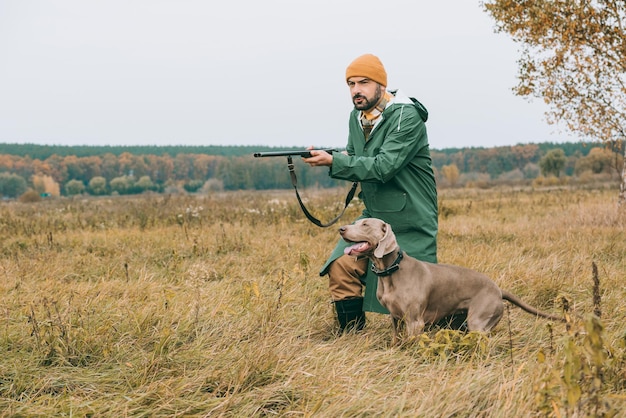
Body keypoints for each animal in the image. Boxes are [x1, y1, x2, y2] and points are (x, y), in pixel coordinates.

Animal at [338, 219, 564, 342]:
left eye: (365, 224)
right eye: (356, 223)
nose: (341, 228)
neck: (390, 272)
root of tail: (498, 289)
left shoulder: (415, 321)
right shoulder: (395, 318)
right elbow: (396, 340)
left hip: (478, 321)